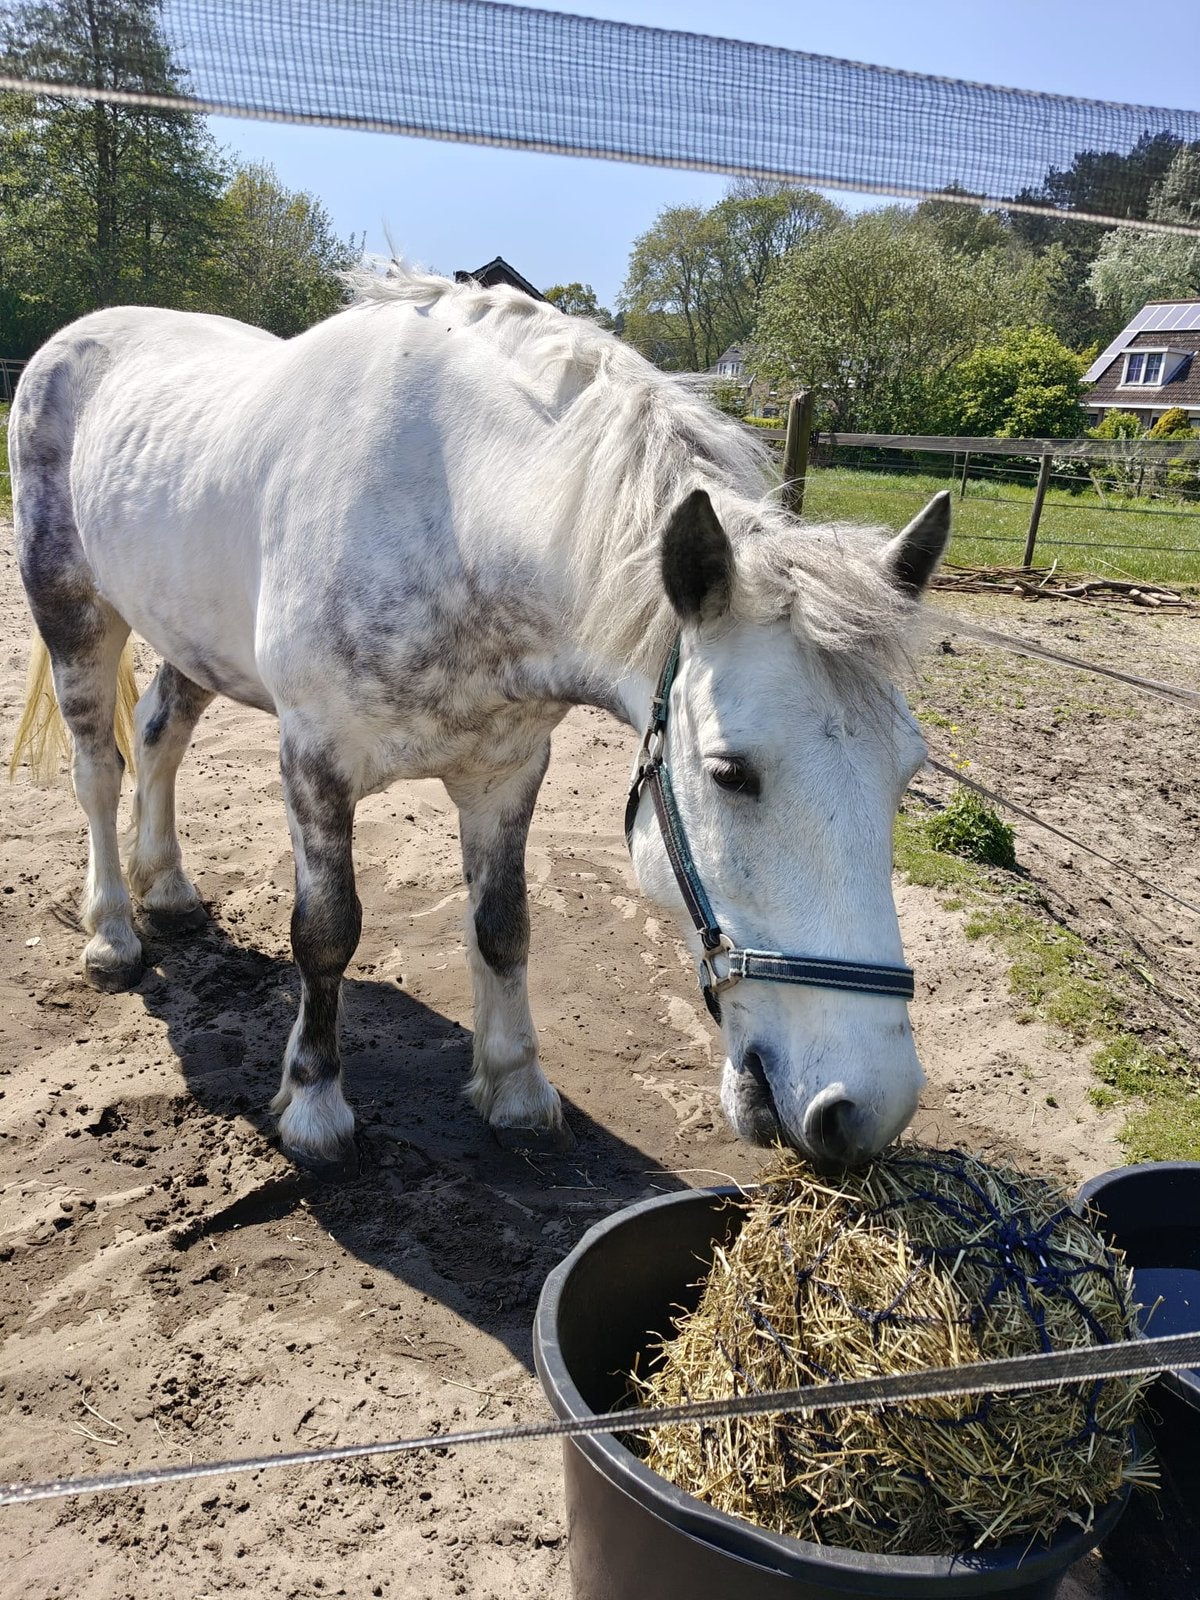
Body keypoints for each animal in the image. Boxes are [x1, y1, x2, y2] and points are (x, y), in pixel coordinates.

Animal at [7, 265, 949, 1175]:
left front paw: (517, 1090)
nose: (862, 1109)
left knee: (161, 734)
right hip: (74, 613)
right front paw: (314, 1106)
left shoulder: (506, 771)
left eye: (907, 772)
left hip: (193, 636)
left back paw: (167, 889)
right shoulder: (312, 762)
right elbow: (326, 931)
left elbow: (504, 927)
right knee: (100, 773)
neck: (457, 510)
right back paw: (114, 934)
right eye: (729, 773)